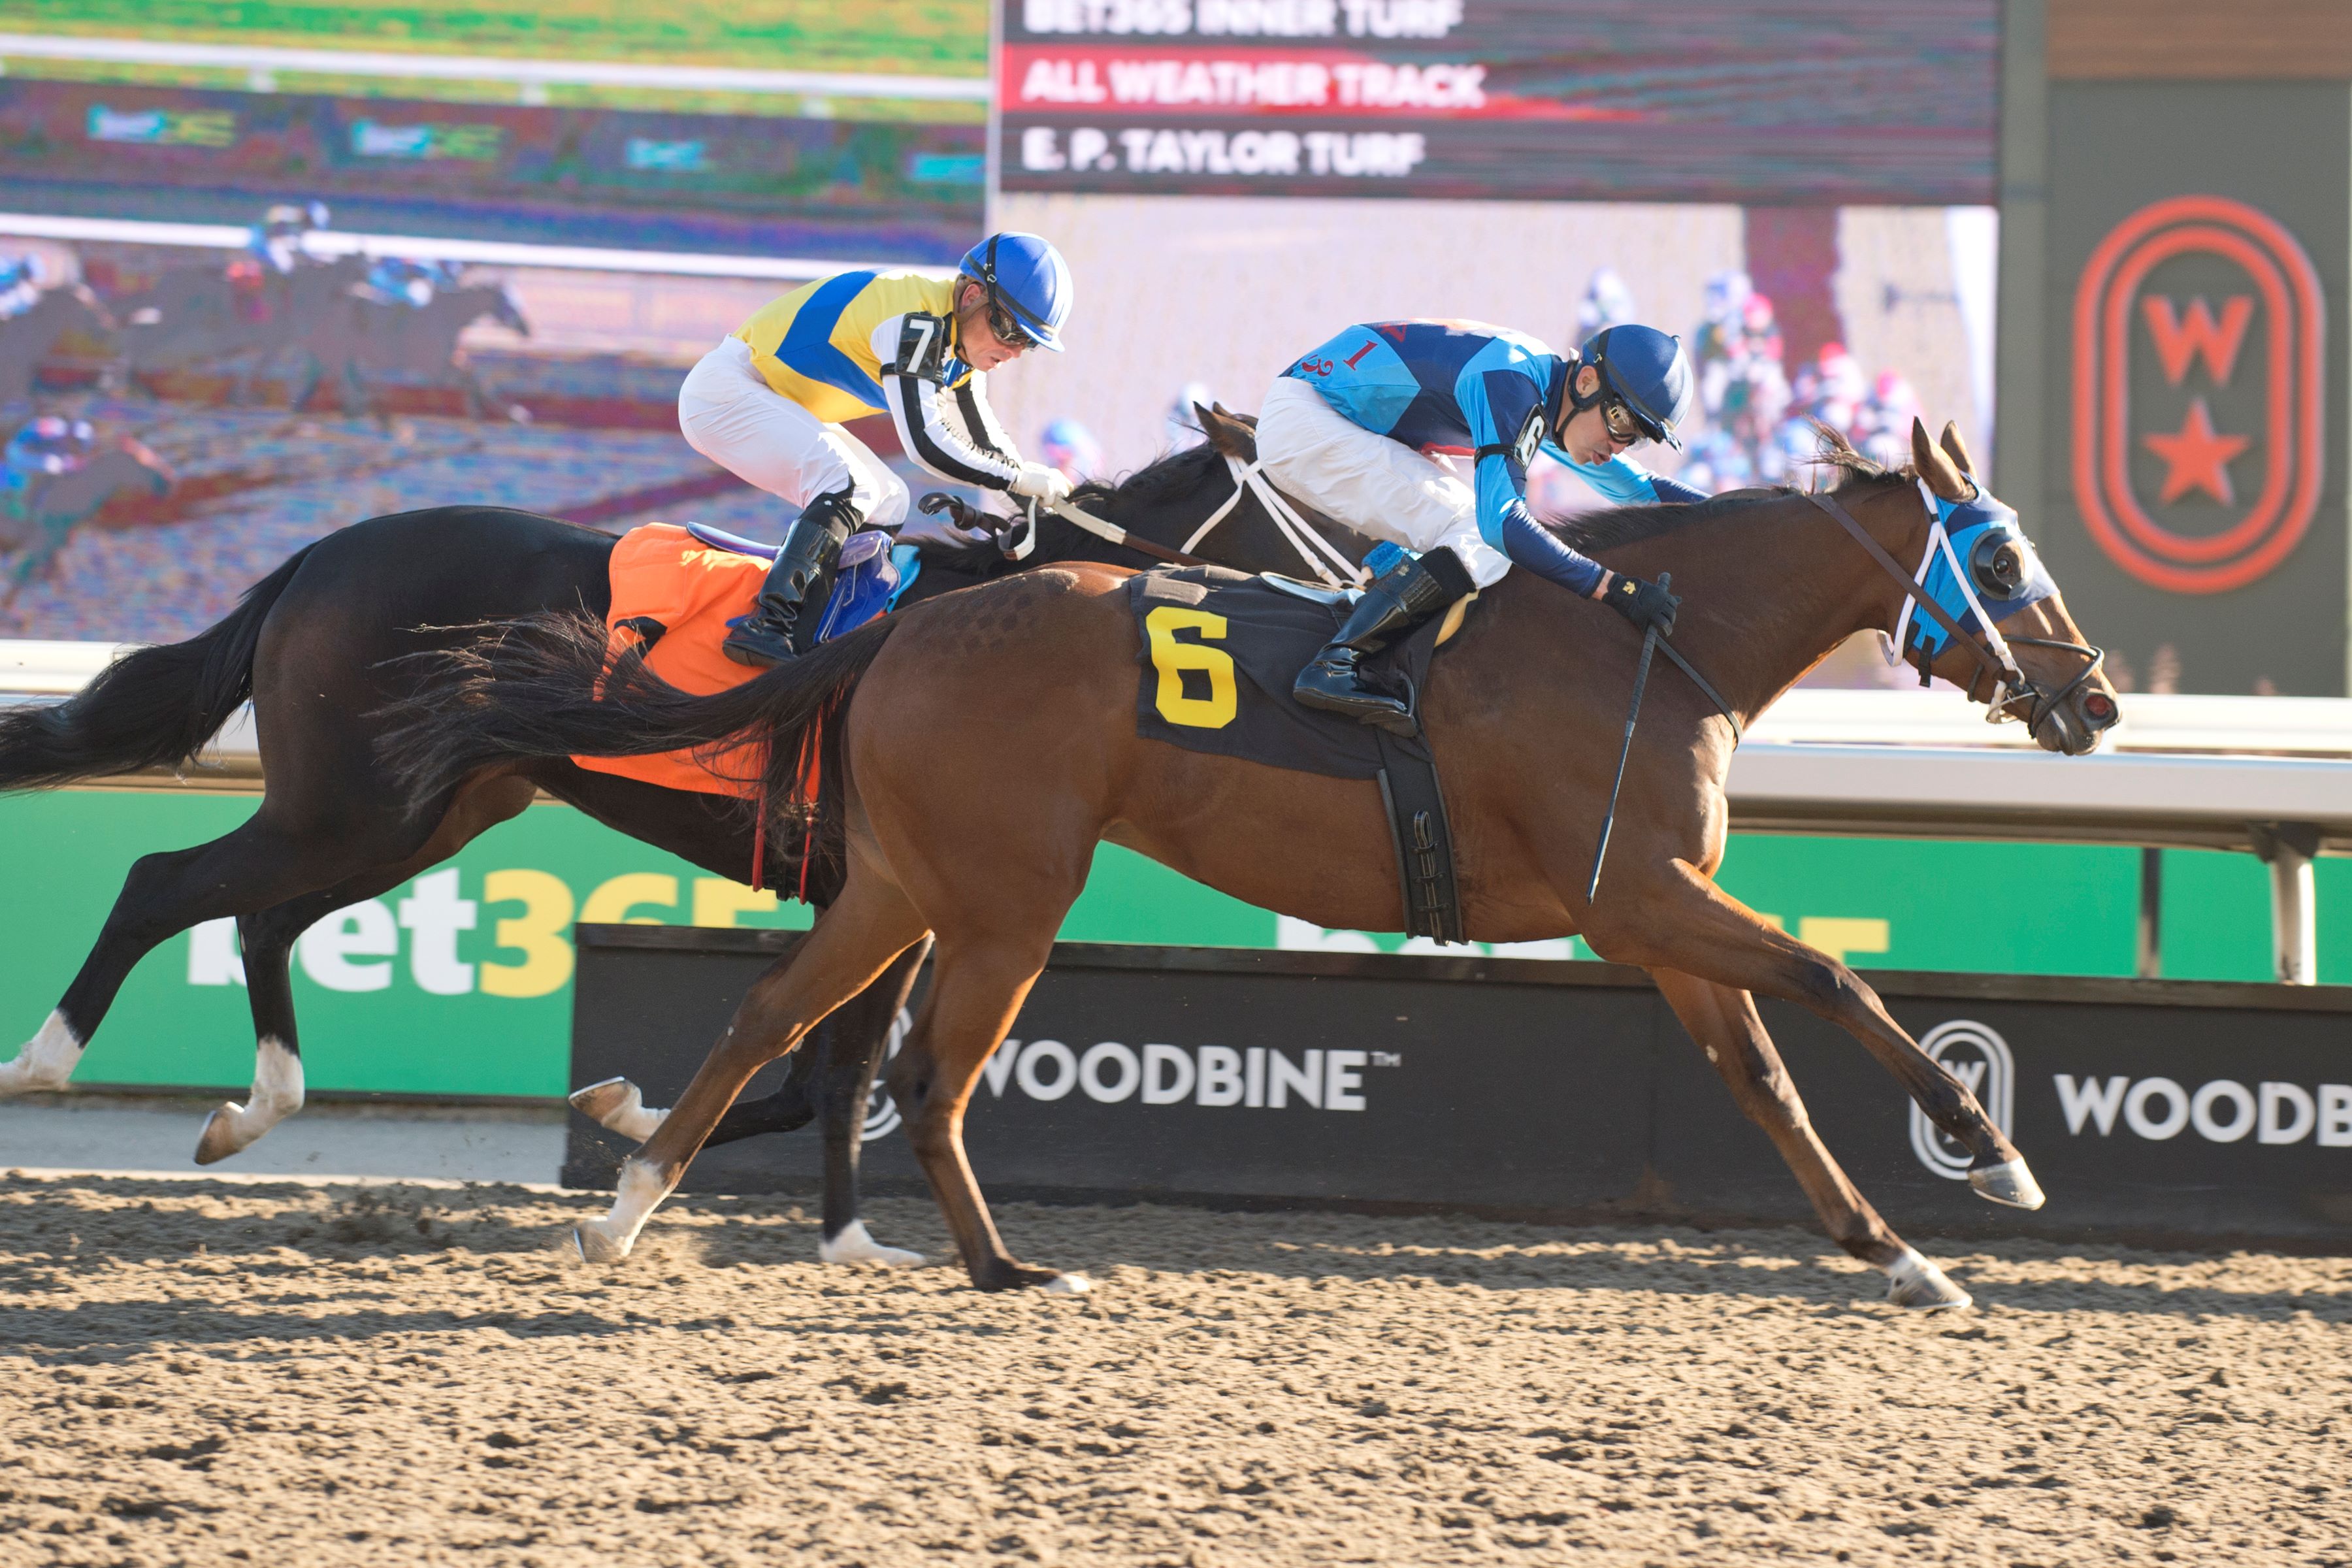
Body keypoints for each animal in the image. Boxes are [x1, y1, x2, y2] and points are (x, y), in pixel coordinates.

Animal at [0, 411, 1373, 1269]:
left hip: (429, 807)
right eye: (1341, 513)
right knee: (165, 882)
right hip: (351, 801)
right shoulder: (896, 888)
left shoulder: (894, 898)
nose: (1376, 609)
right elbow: (828, 1069)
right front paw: (655, 1146)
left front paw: (816, 1220)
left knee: (260, 915)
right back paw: (44, 1068)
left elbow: (829, 1072)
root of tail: (318, 557)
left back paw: (250, 1110)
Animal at [400, 421, 2135, 1316]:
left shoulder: (1655, 921)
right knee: (928, 1073)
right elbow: (1839, 977)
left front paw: (1900, 1250)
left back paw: (629, 1210)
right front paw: (1991, 1149)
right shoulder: (1635, 894)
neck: (1649, 638)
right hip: (1009, 897)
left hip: (900, 881)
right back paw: (1004, 1264)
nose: (2097, 700)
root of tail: (908, 619)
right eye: (1996, 554)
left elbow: (1766, 1075)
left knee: (780, 1017)